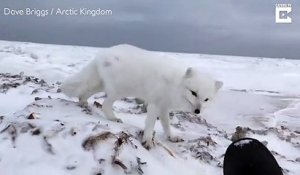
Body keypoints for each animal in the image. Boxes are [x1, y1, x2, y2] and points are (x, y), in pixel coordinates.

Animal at [61, 44, 221, 148]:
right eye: (193, 92)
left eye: (206, 99)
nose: (197, 111)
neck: (176, 85)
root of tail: (102, 54)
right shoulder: (155, 104)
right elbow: (150, 124)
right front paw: (147, 140)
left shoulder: (164, 107)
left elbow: (166, 125)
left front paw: (171, 137)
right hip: (120, 90)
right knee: (106, 104)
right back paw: (113, 118)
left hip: (101, 84)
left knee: (86, 92)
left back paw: (82, 102)